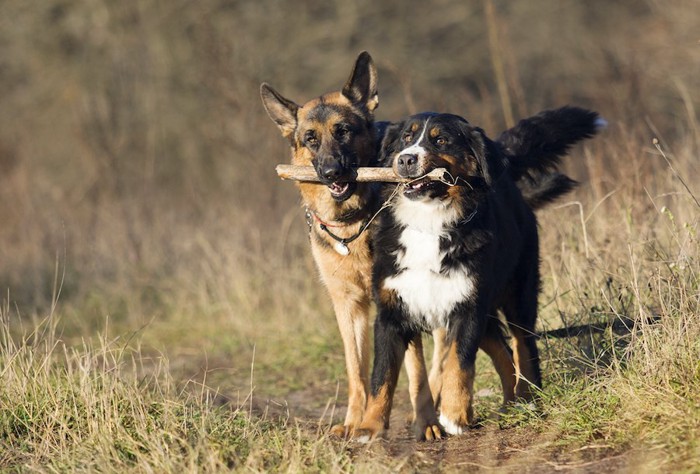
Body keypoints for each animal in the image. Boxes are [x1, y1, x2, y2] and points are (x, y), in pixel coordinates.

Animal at [356, 107, 600, 440]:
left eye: (441, 140)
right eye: (406, 137)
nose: (406, 159)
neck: (429, 223)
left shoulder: (467, 308)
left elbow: (459, 363)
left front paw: (454, 414)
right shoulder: (391, 312)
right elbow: (381, 375)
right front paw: (369, 426)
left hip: (517, 297)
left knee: (523, 348)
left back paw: (529, 399)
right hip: (486, 314)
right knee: (503, 354)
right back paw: (511, 404)